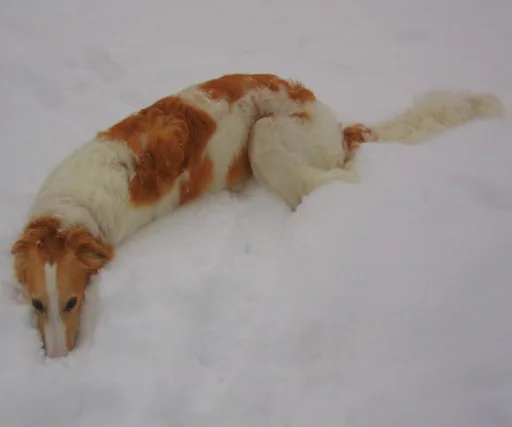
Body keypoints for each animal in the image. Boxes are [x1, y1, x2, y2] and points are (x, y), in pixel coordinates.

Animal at [10, 73, 504, 358]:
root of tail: (337, 127)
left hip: (265, 135)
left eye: (73, 302)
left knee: (333, 182)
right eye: (36, 304)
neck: (69, 208)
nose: (57, 362)